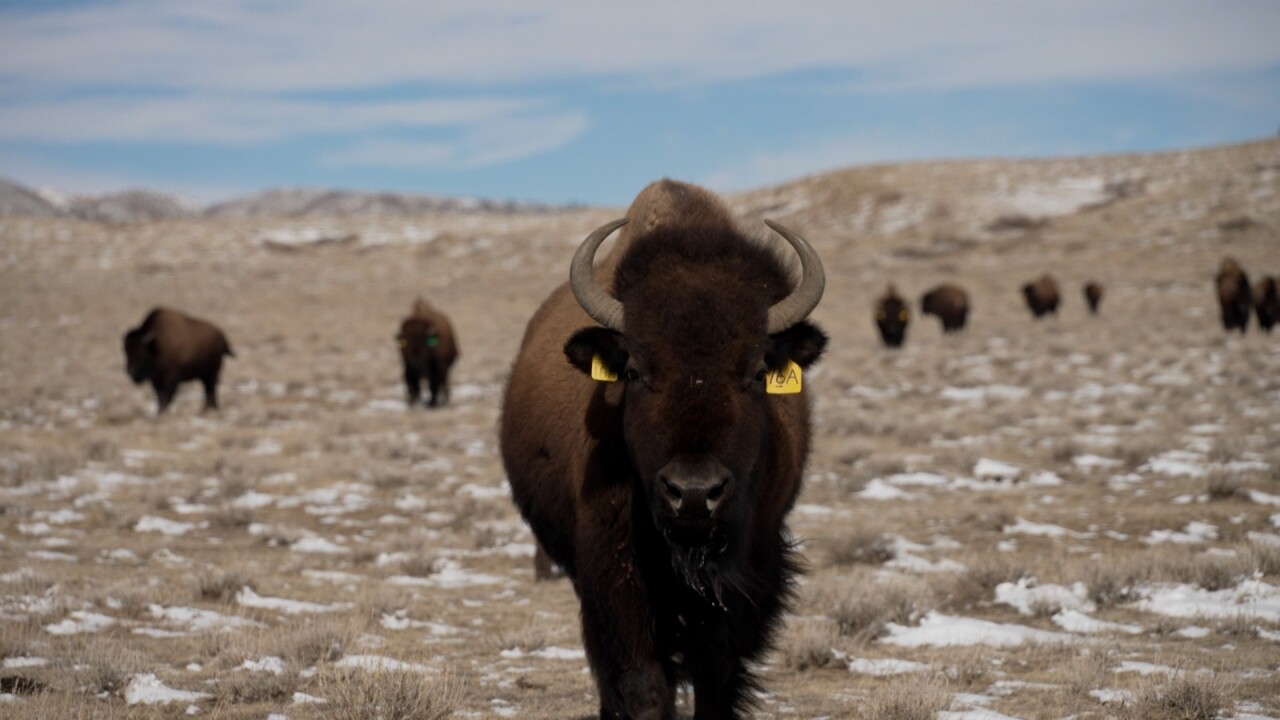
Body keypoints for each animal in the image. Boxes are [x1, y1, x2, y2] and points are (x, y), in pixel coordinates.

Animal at [500, 179, 827, 719]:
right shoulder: (615, 569)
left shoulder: (747, 573)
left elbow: (716, 675)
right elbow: (642, 680)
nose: (693, 493)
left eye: (757, 370)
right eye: (634, 371)